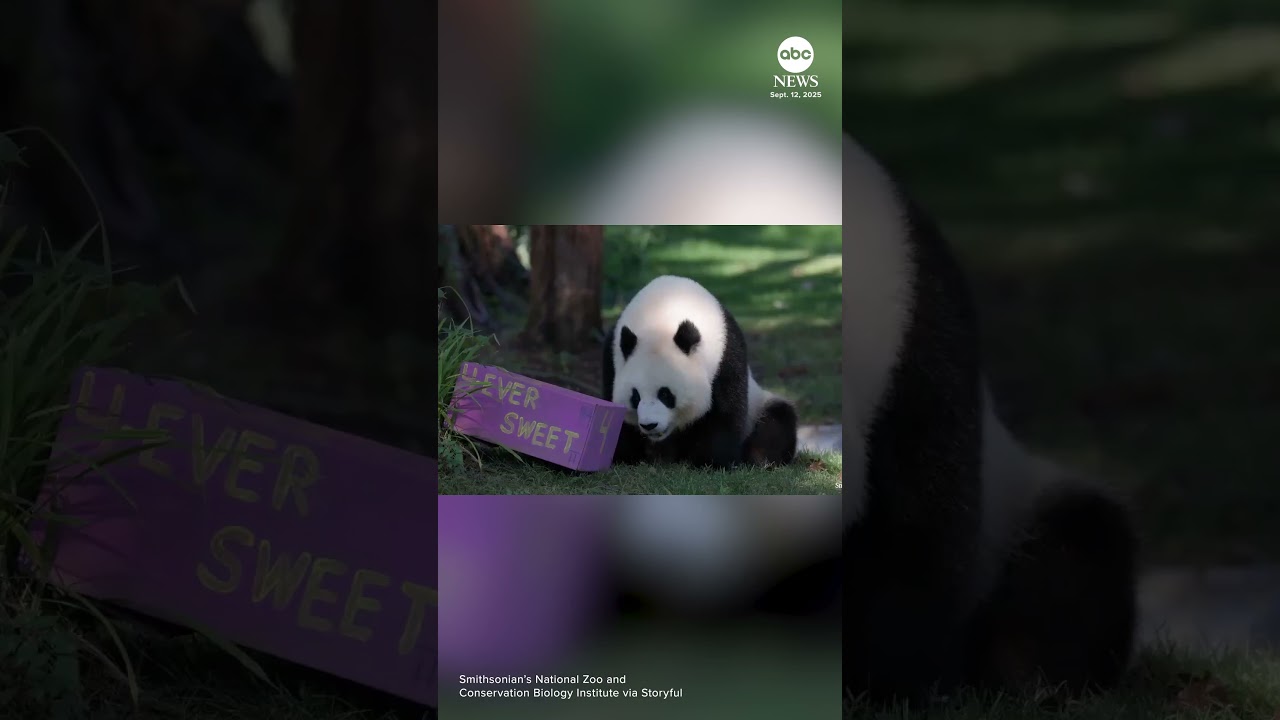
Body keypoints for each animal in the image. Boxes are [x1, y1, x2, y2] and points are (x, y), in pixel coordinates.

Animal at [601, 275, 798, 469]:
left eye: (665, 394)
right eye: (635, 396)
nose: (649, 425)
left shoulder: (725, 355)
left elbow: (724, 412)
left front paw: (711, 462)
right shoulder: (612, 355)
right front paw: (623, 456)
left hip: (759, 406)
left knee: (778, 421)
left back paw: (759, 458)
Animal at [838, 133, 1138, 705]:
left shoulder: (916, 333)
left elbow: (915, 541)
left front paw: (882, 682)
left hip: (1021, 509)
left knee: (1076, 557)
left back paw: (1017, 674)